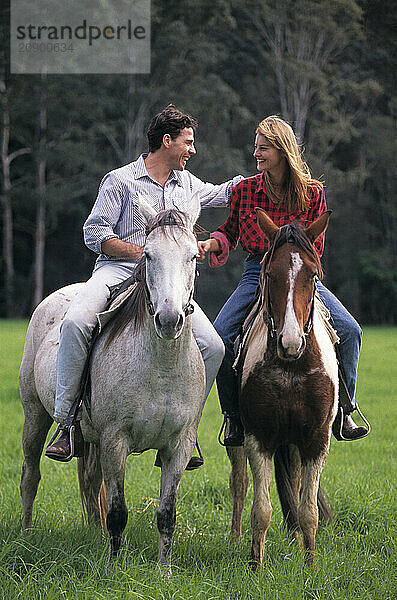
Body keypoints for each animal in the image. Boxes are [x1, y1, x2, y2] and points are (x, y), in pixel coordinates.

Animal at [19, 198, 204, 572]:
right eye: (148, 254)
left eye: (193, 256)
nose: (169, 320)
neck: (161, 367)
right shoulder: (115, 441)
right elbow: (118, 512)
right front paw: (114, 568)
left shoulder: (178, 446)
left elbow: (167, 514)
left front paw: (164, 572)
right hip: (34, 415)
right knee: (31, 475)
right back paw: (25, 534)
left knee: (89, 483)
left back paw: (92, 534)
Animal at [227, 210, 336, 568]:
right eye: (269, 274)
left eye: (312, 275)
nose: (290, 342)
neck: (292, 368)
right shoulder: (258, 437)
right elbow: (260, 511)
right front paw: (255, 565)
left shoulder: (316, 440)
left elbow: (309, 511)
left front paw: (310, 565)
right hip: (239, 440)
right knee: (239, 484)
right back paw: (234, 540)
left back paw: (295, 540)